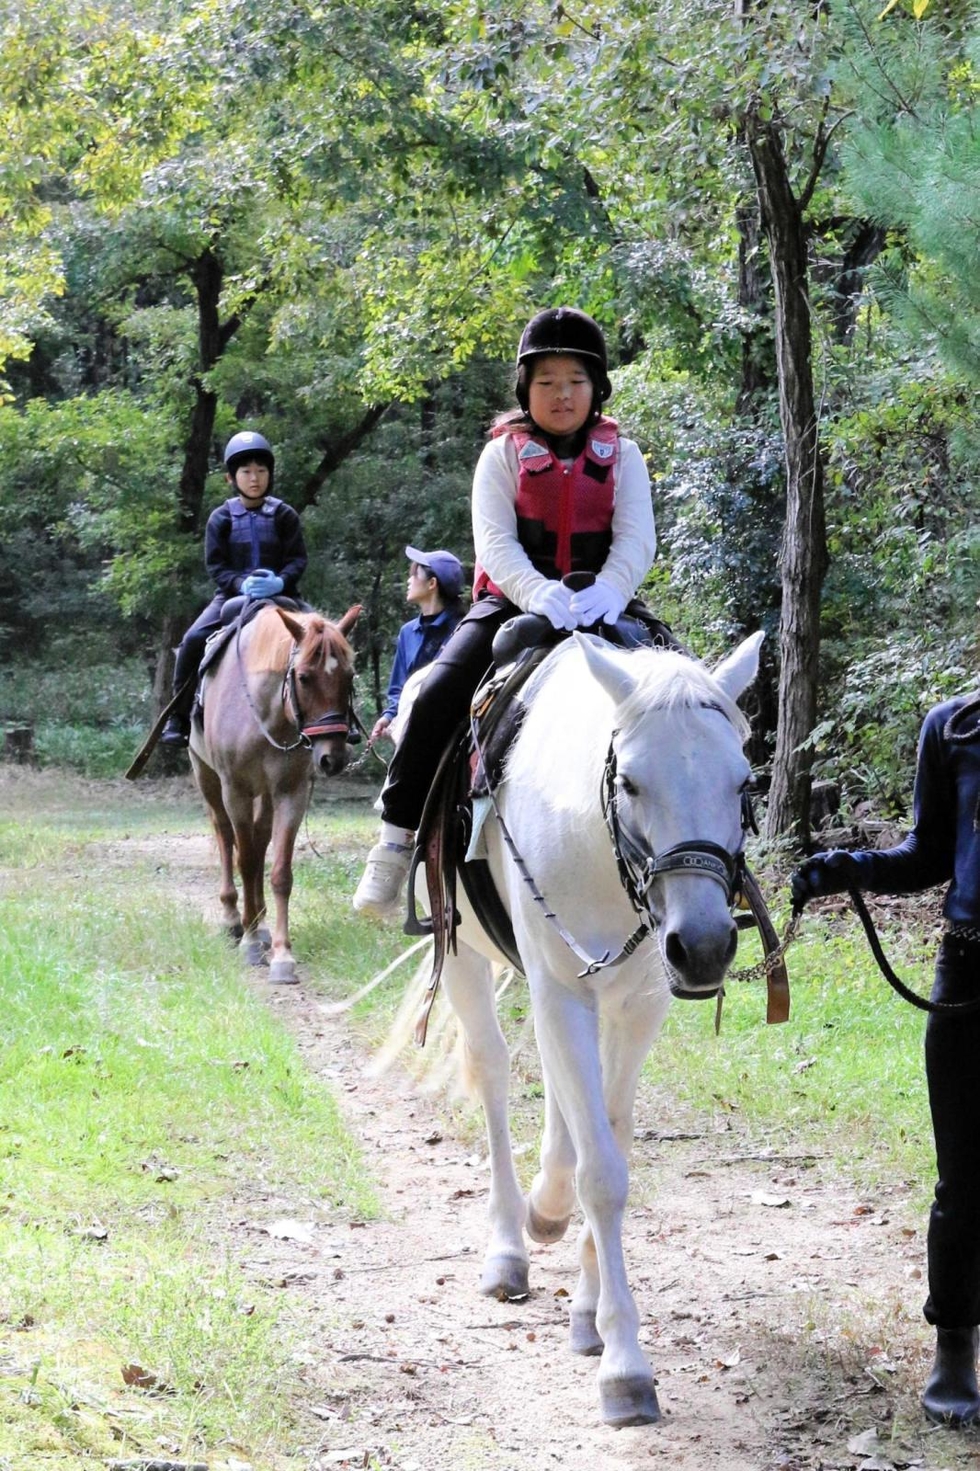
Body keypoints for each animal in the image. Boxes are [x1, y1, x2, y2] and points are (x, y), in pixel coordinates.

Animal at [189, 601, 360, 984]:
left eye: (349, 677)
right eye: (304, 677)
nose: (332, 758)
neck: (264, 712)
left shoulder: (290, 792)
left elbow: (279, 871)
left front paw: (282, 954)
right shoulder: (234, 790)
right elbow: (245, 860)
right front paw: (250, 943)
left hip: (266, 795)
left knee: (258, 839)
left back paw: (261, 922)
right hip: (206, 777)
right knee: (226, 837)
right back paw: (234, 919)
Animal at [414, 628, 764, 1428]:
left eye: (742, 783)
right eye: (630, 782)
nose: (705, 945)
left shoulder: (641, 1003)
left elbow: (612, 1136)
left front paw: (586, 1309)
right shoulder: (557, 989)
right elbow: (601, 1172)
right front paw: (625, 1368)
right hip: (465, 956)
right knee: (493, 1071)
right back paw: (510, 1245)